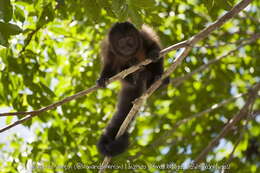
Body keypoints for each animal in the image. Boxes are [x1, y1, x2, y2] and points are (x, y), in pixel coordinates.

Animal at [96, 21, 167, 157]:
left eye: (130, 40)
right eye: (121, 42)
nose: (127, 47)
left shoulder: (143, 35)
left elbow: (154, 45)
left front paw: (153, 53)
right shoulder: (109, 50)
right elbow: (109, 66)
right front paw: (102, 78)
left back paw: (156, 78)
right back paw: (131, 74)